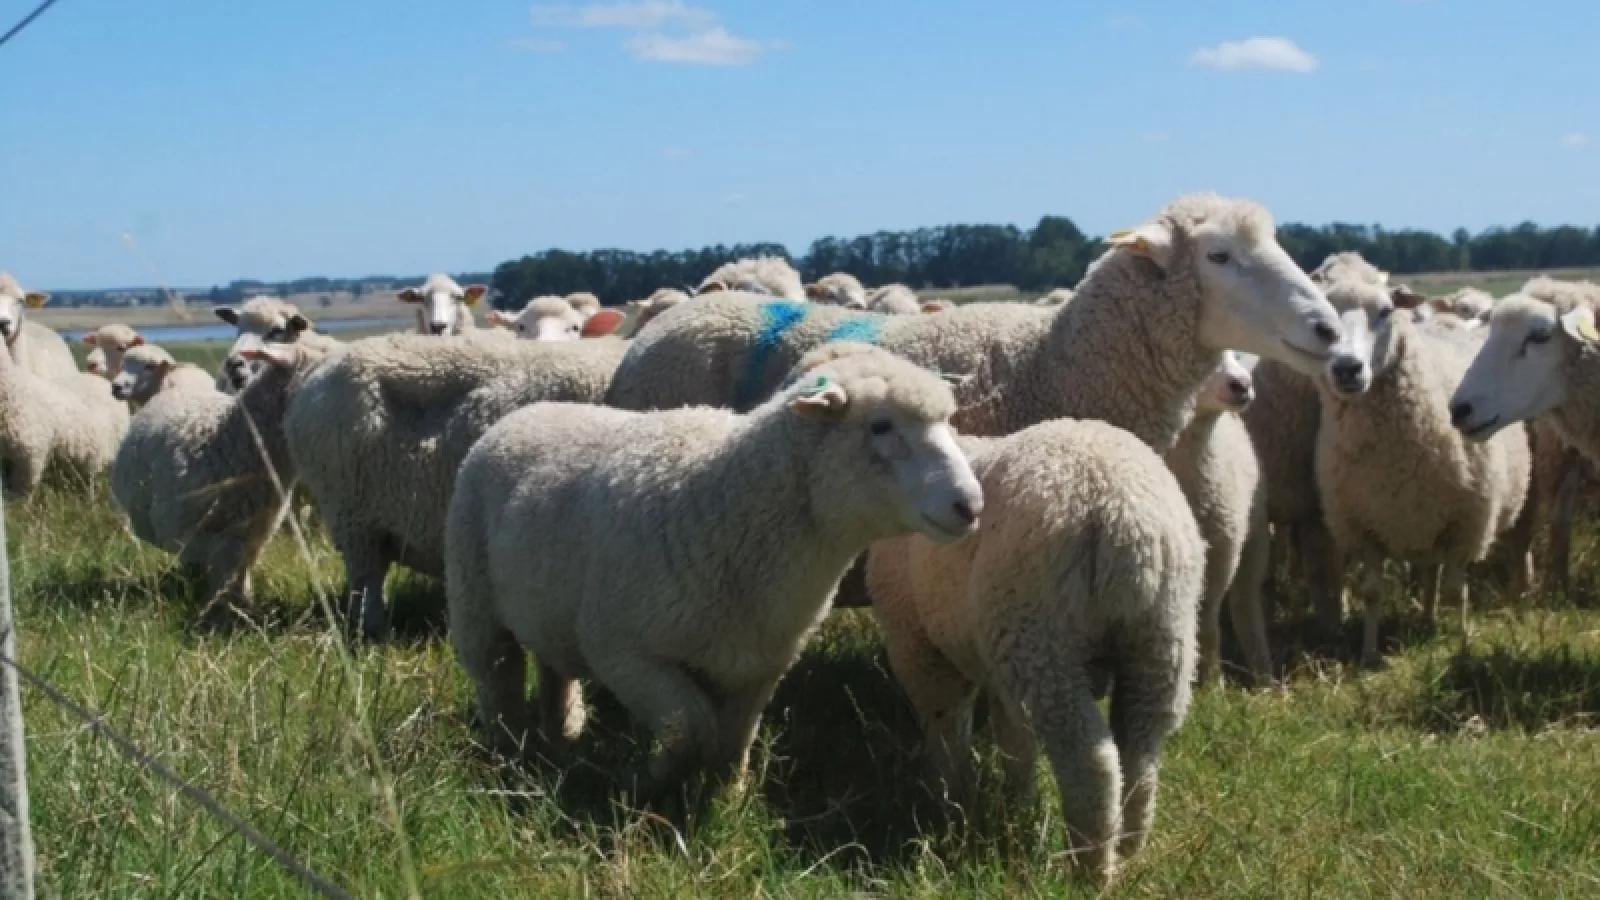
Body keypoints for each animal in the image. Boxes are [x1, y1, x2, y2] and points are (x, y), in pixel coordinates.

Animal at [111, 342, 329, 620]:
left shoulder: (257, 530)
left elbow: (242, 564)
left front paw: (242, 603)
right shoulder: (184, 531)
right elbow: (229, 559)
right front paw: (224, 606)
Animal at [446, 343, 983, 805]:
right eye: (880, 426)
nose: (971, 506)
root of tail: (528, 411)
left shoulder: (759, 665)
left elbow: (733, 740)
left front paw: (727, 798)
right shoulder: (623, 649)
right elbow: (691, 727)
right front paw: (648, 783)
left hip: (548, 607)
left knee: (553, 668)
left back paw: (560, 734)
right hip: (474, 599)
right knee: (497, 677)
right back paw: (509, 751)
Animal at [868, 417, 1202, 882]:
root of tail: (1120, 513)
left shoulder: (918, 646)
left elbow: (947, 726)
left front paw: (953, 805)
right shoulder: (993, 665)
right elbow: (1014, 737)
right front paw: (1017, 805)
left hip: (1039, 632)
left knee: (1090, 758)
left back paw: (1089, 869)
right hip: (1160, 636)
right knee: (1140, 746)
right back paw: (1129, 847)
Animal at [1166, 353, 1272, 684]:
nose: (1243, 385)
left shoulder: (1222, 547)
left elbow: (1207, 619)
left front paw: (1213, 682)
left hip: (1254, 534)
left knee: (1245, 603)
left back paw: (1265, 675)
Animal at [1319, 300, 1532, 668]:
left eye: (1385, 311)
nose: (1347, 369)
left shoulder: (1466, 524)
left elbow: (1456, 591)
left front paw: (1463, 645)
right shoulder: (1365, 527)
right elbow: (1372, 592)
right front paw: (1369, 654)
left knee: (1438, 575)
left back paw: (1433, 621)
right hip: (1426, 522)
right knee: (1430, 570)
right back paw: (1427, 618)